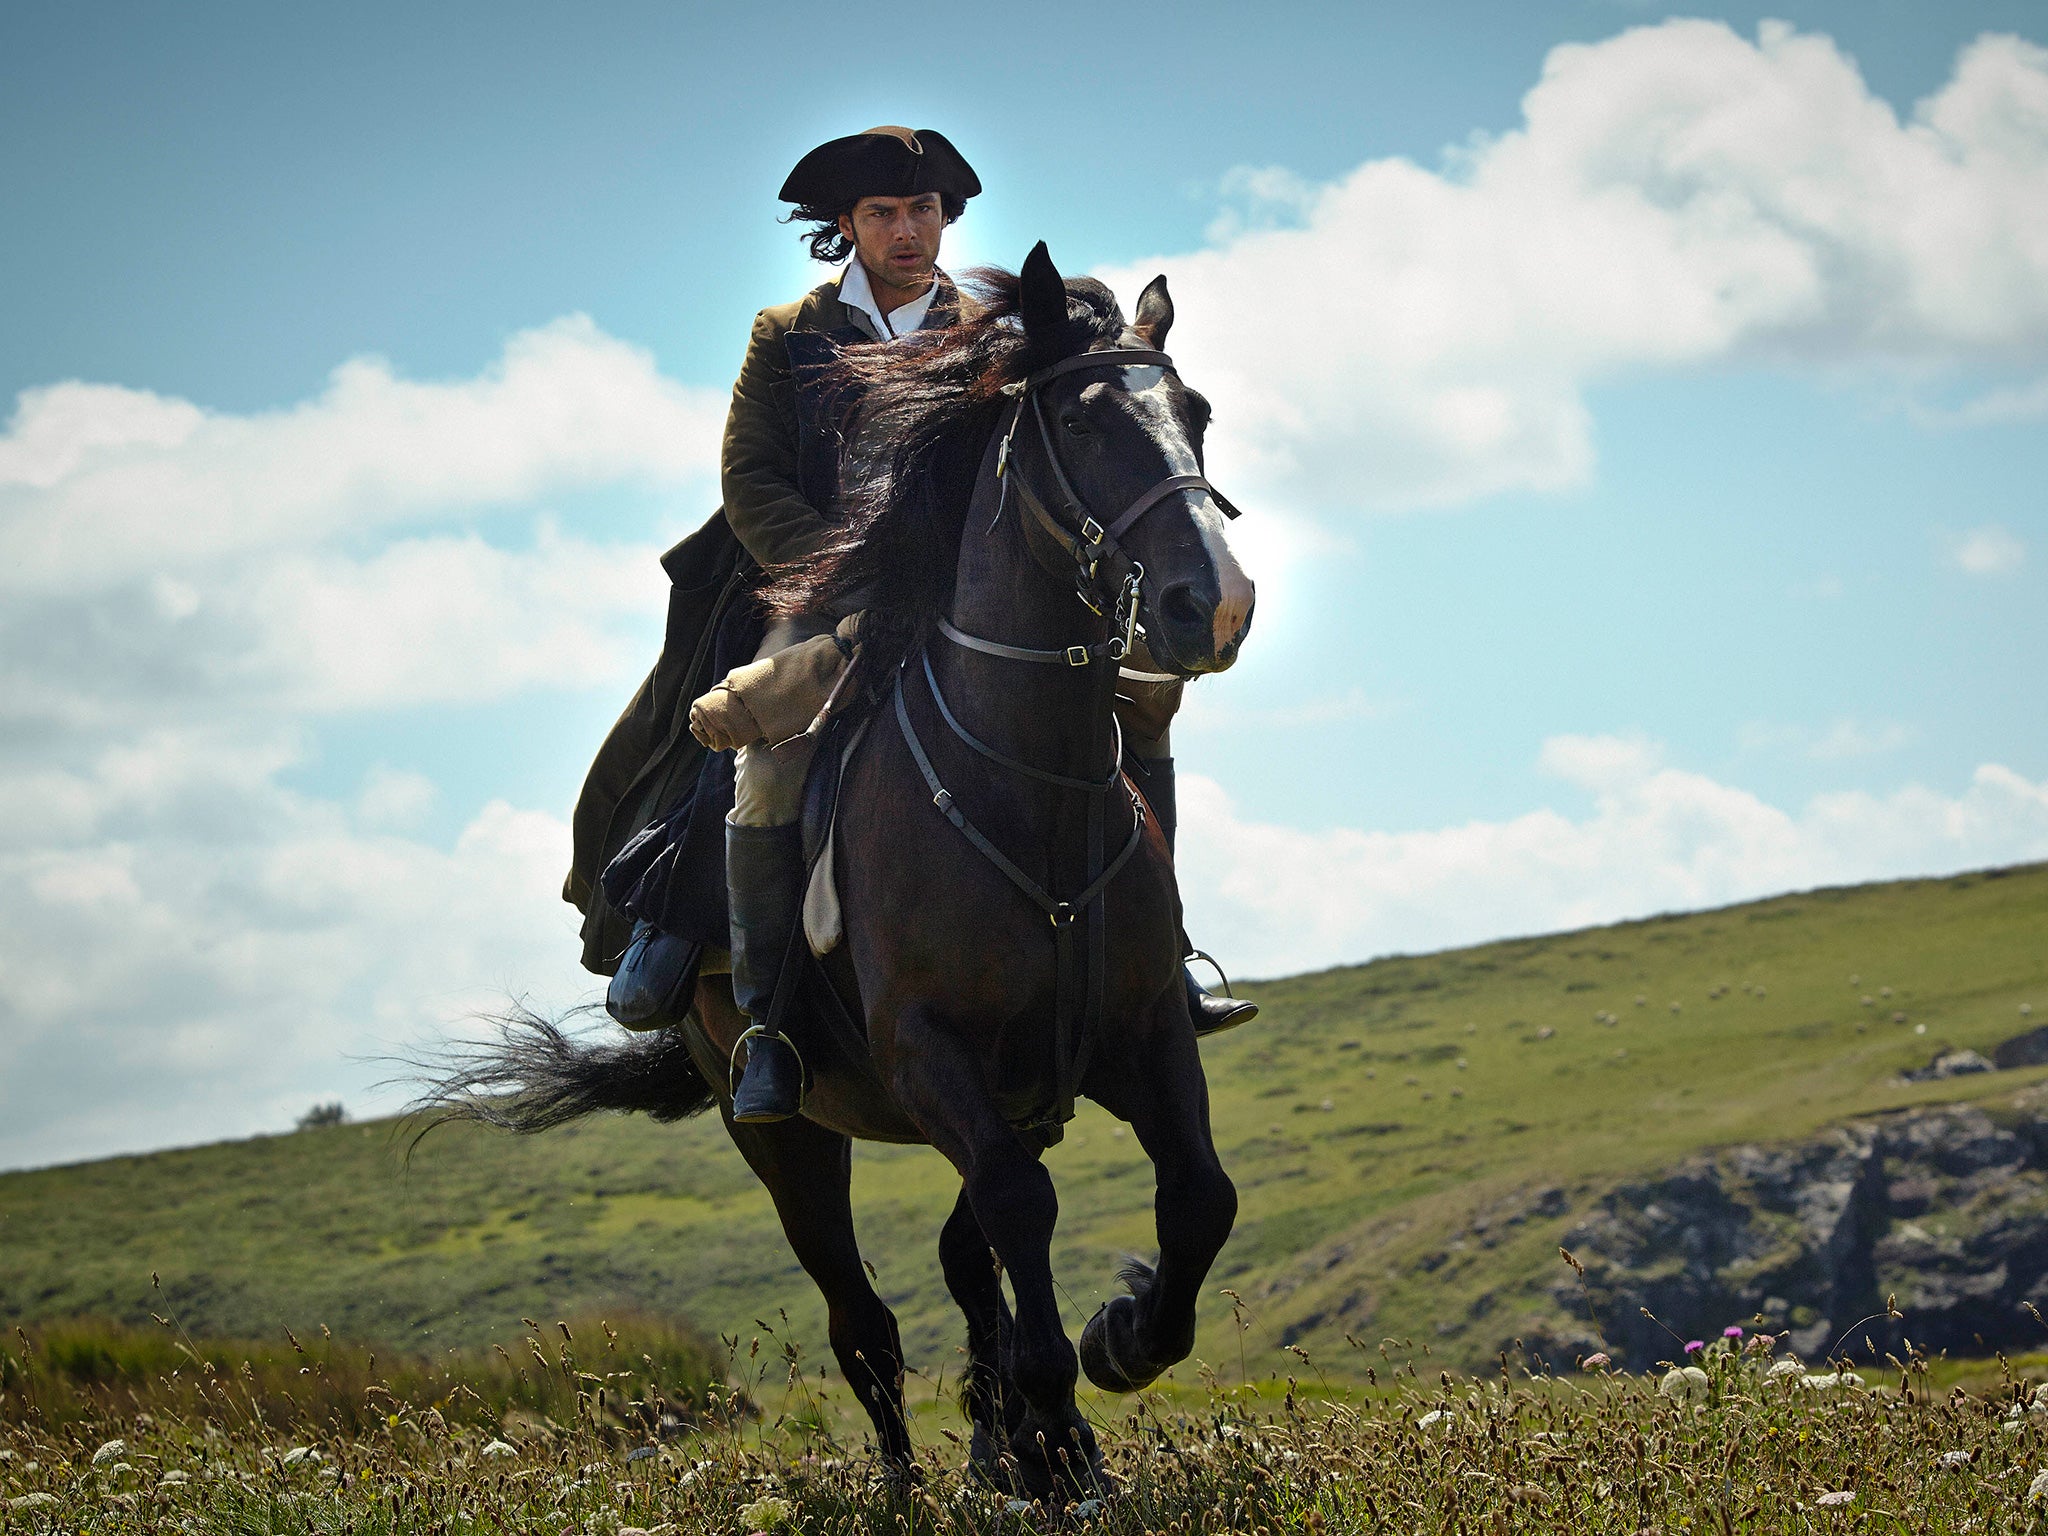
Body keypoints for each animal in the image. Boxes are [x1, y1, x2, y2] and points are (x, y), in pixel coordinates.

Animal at [419, 249, 1245, 1507]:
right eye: (1077, 422)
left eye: (1192, 413)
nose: (1215, 604)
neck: (1026, 793)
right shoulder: (931, 1058)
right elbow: (1020, 1212)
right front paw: (1062, 1432)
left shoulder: (1137, 1035)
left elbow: (1195, 1198)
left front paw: (1114, 1349)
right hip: (781, 1137)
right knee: (865, 1322)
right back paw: (913, 1480)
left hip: (1013, 1104)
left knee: (963, 1267)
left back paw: (1000, 1446)